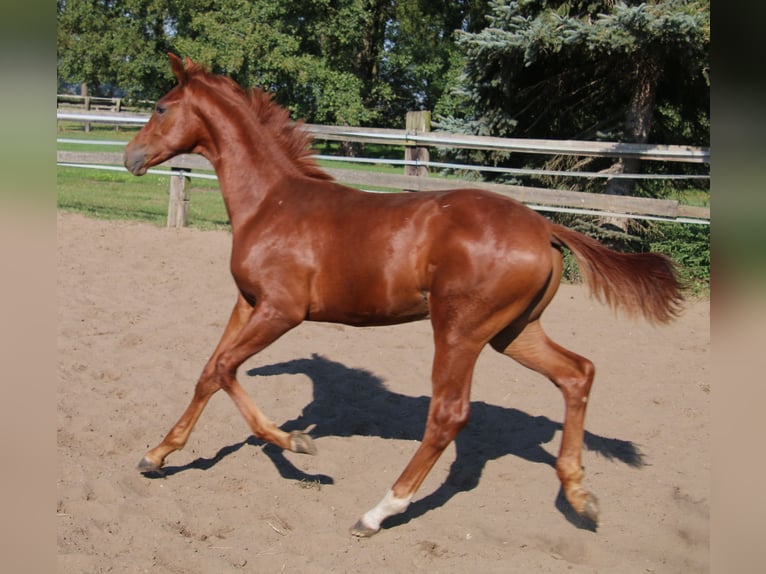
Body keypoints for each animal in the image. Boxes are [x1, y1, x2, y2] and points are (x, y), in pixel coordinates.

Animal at [124, 51, 684, 536]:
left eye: (161, 107)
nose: (131, 156)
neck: (271, 202)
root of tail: (544, 226)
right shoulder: (247, 302)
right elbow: (209, 372)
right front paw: (156, 455)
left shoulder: (282, 311)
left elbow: (225, 370)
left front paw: (299, 445)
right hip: (514, 332)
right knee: (576, 373)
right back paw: (579, 496)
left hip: (459, 330)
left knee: (449, 414)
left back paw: (379, 511)